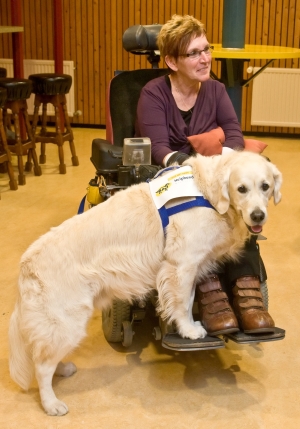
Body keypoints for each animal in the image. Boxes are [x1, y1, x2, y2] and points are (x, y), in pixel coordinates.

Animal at [8, 151, 282, 414]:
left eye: (265, 186)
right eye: (241, 188)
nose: (258, 215)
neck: (208, 194)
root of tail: (26, 264)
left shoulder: (189, 266)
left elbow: (189, 299)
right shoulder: (182, 263)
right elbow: (183, 303)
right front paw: (189, 331)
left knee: (46, 356)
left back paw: (62, 369)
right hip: (67, 322)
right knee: (42, 366)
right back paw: (51, 404)